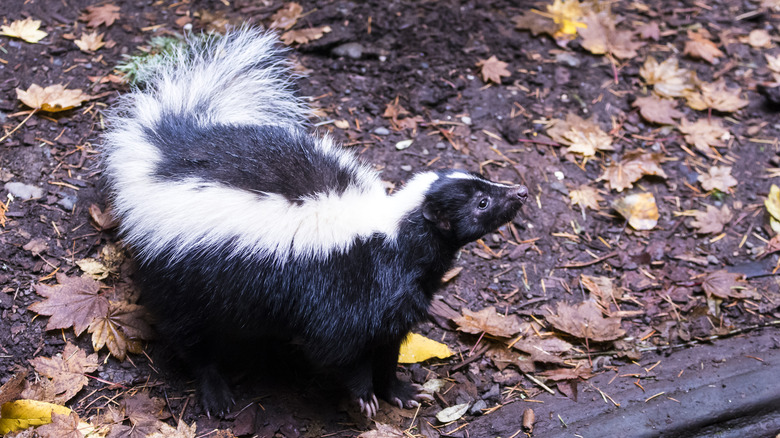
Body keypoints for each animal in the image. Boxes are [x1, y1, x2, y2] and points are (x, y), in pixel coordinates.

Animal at [100, 29, 528, 416]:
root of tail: (167, 157)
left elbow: (388, 347)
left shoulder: (396, 299)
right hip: (184, 278)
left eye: (485, 184)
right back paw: (216, 392)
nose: (520, 191)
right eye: (482, 203)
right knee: (191, 336)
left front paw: (399, 391)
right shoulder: (345, 289)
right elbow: (340, 349)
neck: (394, 238)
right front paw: (363, 396)